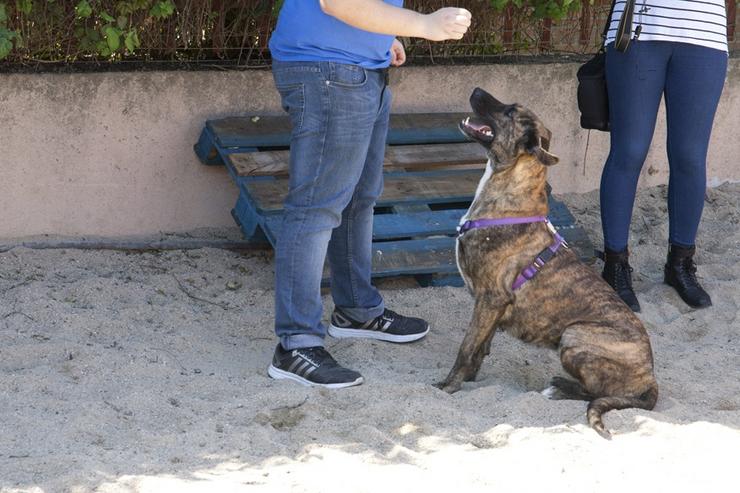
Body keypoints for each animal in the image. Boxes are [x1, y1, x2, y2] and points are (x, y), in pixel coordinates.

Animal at [436, 87, 656, 438]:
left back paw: (558, 387)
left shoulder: (490, 298)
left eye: (510, 112)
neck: (510, 193)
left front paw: (448, 386)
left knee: (595, 392)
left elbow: (466, 347)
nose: (475, 90)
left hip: (575, 335)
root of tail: (650, 380)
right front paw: (469, 381)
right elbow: (480, 348)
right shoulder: (492, 306)